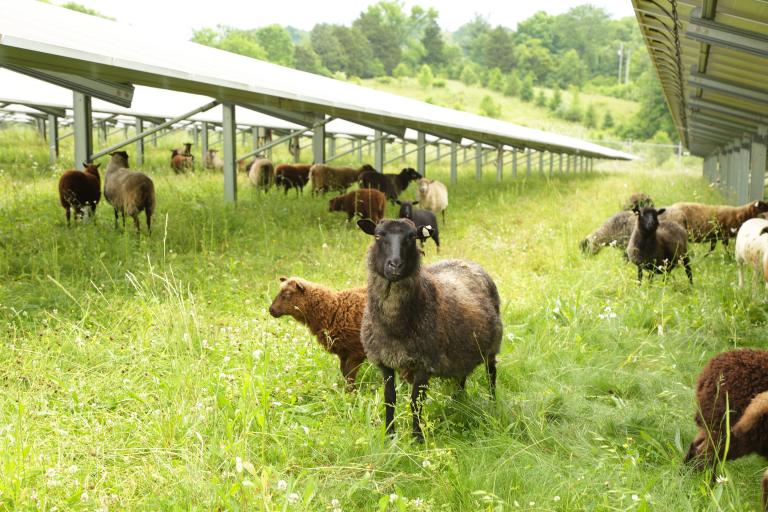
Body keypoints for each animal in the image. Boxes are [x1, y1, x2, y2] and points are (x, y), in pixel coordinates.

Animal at [356, 217, 500, 440]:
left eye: (412, 237)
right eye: (378, 236)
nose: (395, 265)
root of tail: (467, 261)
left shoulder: (425, 363)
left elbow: (416, 402)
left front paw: (417, 438)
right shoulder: (384, 361)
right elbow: (389, 399)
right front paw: (389, 435)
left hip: (492, 346)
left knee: (491, 373)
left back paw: (492, 403)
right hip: (461, 349)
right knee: (462, 375)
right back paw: (459, 401)